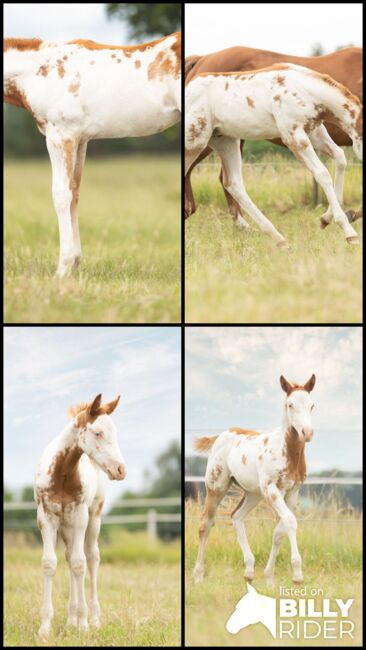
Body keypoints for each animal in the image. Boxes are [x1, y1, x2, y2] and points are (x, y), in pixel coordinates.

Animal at [2, 33, 180, 276]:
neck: (38, 71)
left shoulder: (60, 136)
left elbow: (61, 194)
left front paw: (63, 269)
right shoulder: (80, 140)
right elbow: (74, 193)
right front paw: (75, 264)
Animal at [34, 392, 126, 636]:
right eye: (98, 432)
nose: (120, 470)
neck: (62, 474)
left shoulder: (80, 516)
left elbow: (80, 563)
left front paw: (84, 624)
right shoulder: (46, 516)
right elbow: (50, 563)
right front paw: (45, 627)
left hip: (93, 518)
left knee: (91, 558)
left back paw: (92, 619)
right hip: (65, 526)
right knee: (68, 557)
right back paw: (70, 619)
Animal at [186, 64, 364, 246]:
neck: (304, 89)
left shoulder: (314, 131)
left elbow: (340, 158)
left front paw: (326, 219)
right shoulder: (293, 136)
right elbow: (322, 173)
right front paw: (348, 231)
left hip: (225, 142)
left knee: (233, 184)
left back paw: (278, 238)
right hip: (195, 142)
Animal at [193, 372, 316, 584]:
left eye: (311, 405)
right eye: (290, 405)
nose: (306, 433)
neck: (287, 452)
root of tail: (222, 434)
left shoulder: (292, 492)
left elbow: (279, 532)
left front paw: (269, 578)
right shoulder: (272, 489)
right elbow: (290, 521)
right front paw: (297, 574)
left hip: (254, 494)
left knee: (236, 516)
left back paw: (249, 571)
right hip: (216, 487)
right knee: (205, 524)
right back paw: (199, 576)